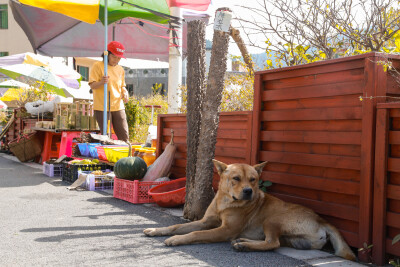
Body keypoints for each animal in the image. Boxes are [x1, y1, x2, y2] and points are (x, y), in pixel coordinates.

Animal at [144, 159, 356, 262]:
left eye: (253, 180)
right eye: (236, 178)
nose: (248, 191)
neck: (226, 202)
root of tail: (322, 220)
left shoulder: (224, 230)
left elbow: (196, 234)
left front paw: (176, 240)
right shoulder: (206, 221)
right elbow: (177, 226)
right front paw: (157, 230)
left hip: (272, 219)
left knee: (273, 243)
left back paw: (243, 245)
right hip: (291, 239)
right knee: (274, 242)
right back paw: (242, 241)